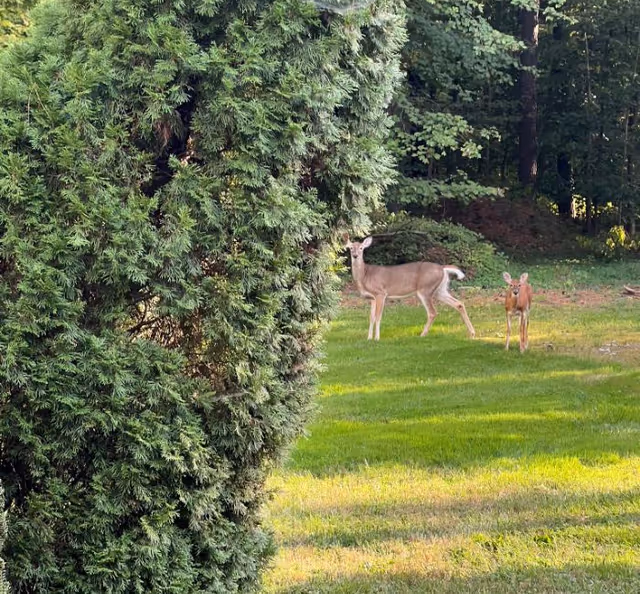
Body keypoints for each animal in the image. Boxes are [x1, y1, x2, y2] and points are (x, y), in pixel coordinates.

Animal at [344, 235, 476, 341]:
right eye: (351, 248)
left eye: (361, 248)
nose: (355, 256)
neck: (365, 275)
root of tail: (442, 268)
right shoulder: (371, 298)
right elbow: (371, 318)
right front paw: (368, 338)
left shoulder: (380, 293)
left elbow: (378, 317)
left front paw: (376, 338)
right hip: (439, 290)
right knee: (459, 304)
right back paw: (472, 333)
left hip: (425, 289)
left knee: (433, 312)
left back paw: (422, 334)